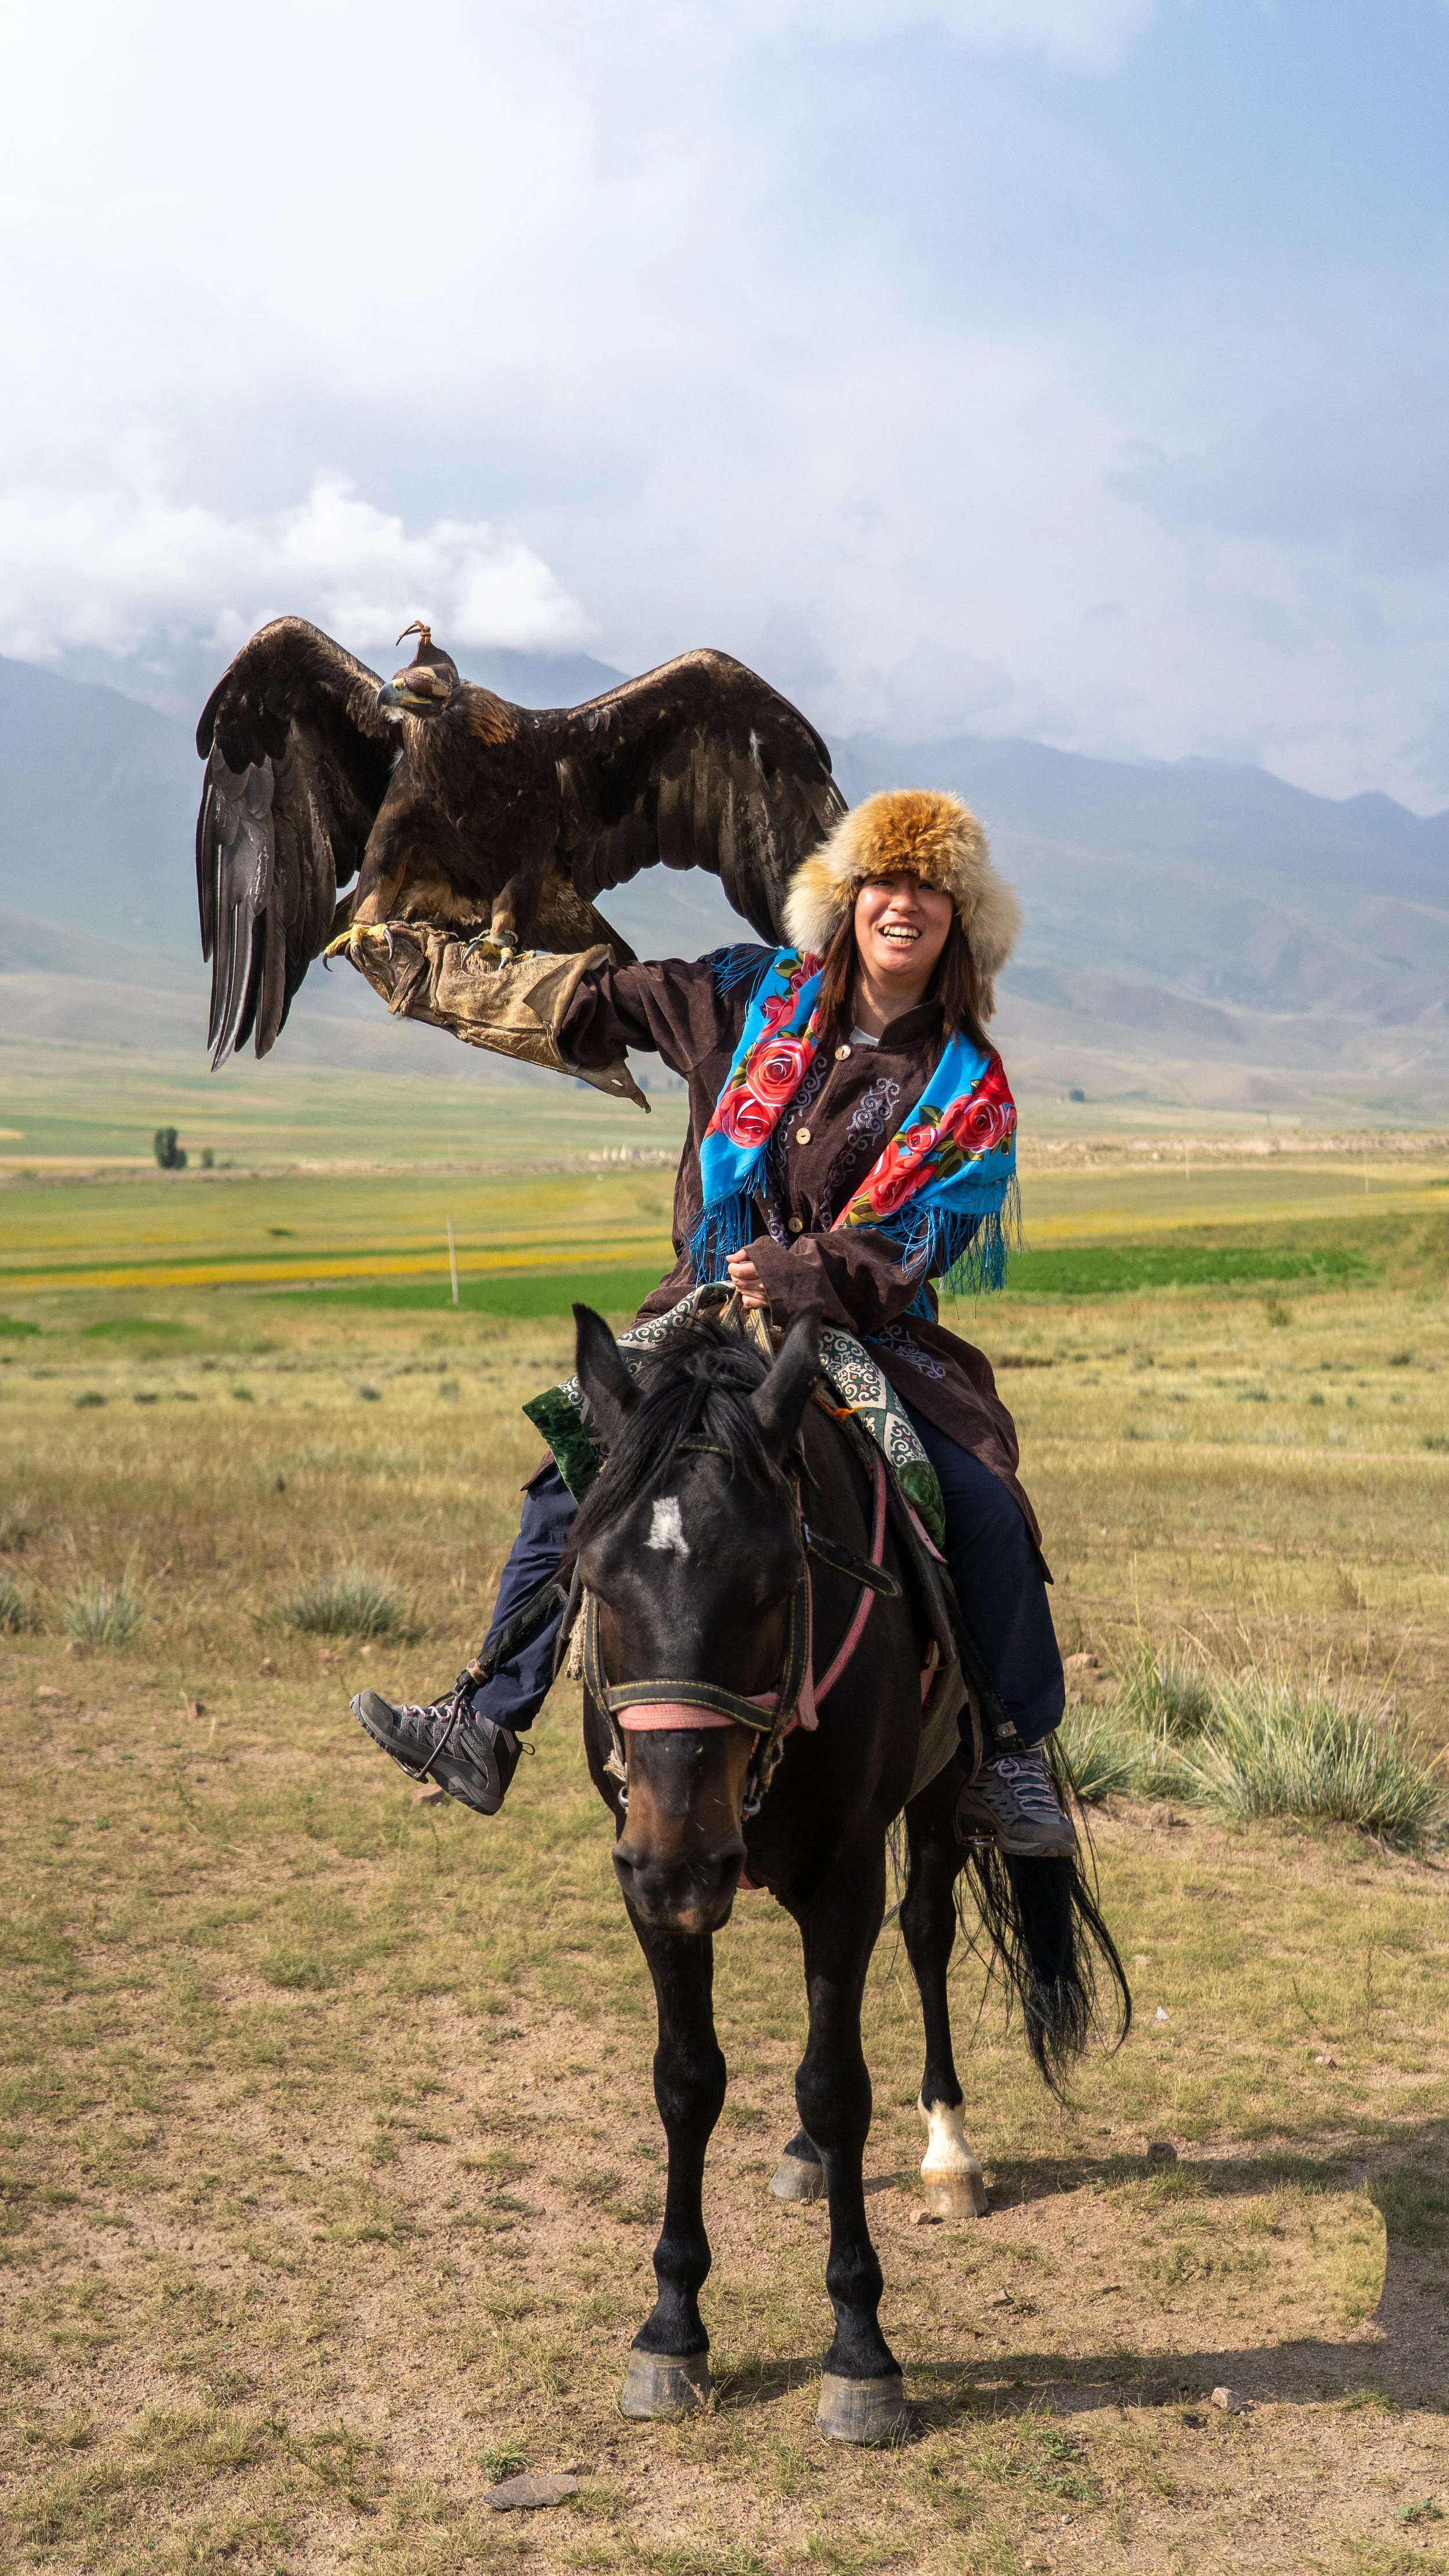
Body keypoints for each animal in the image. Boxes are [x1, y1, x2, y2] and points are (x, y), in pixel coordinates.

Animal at [567, 1300, 1129, 2444]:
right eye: (596, 1579)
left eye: (780, 1579)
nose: (682, 1858)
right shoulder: (646, 1890)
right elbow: (686, 2080)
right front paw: (671, 2328)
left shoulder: (844, 1881)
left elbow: (837, 2085)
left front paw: (861, 2350)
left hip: (944, 1791)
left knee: (926, 1934)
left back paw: (949, 2151)